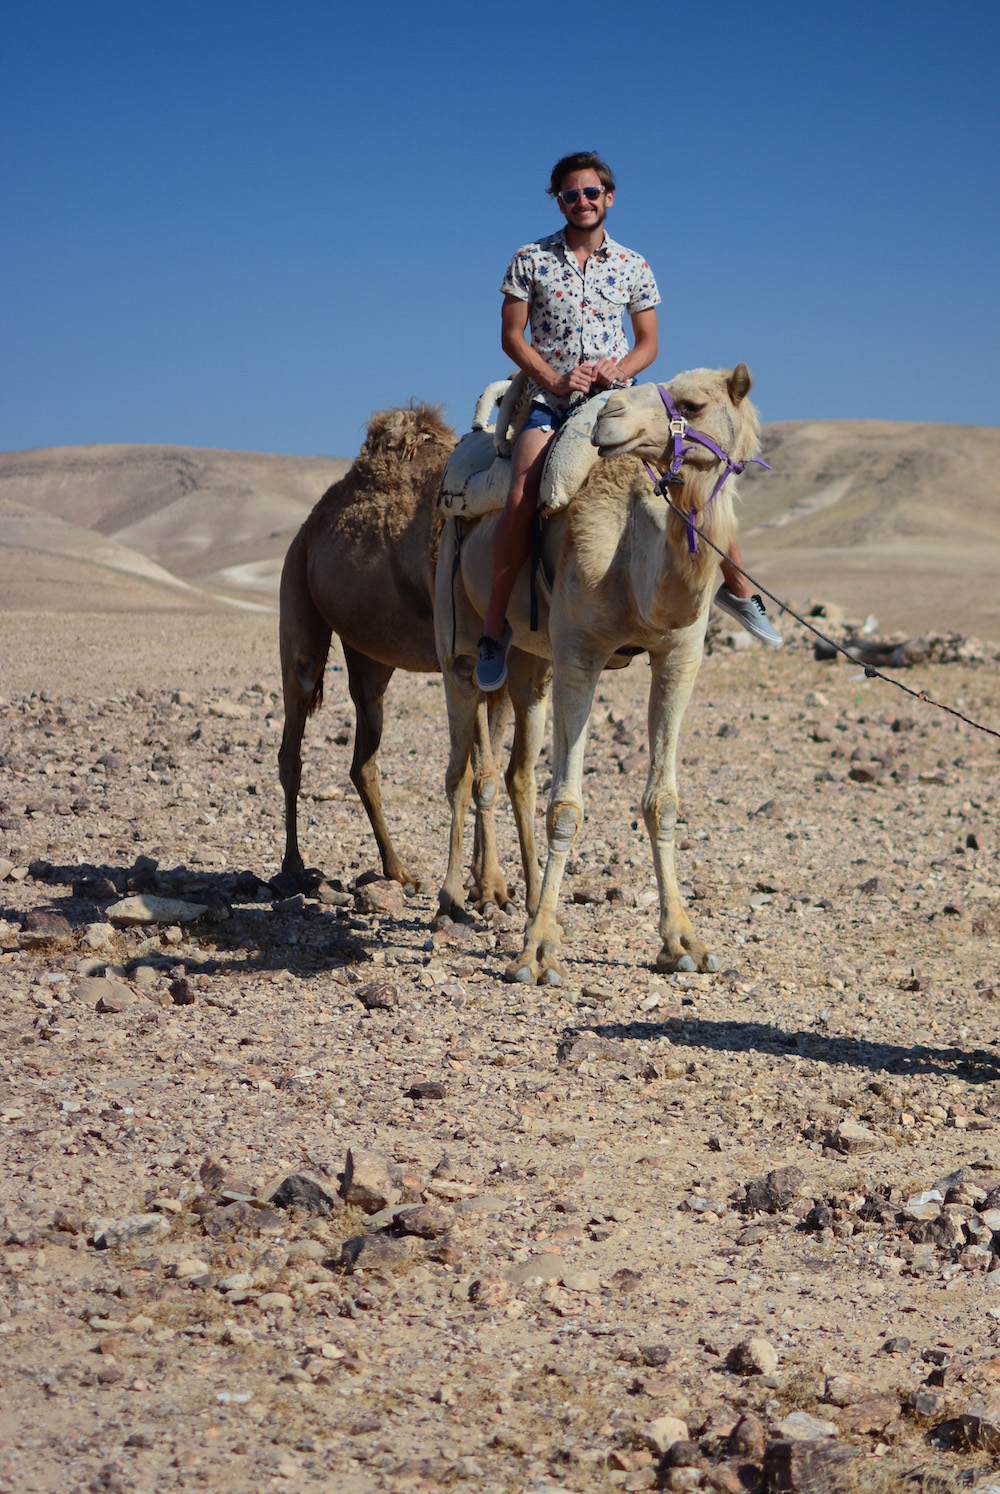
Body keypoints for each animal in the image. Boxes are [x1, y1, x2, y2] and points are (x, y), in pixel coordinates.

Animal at [276, 397, 523, 896]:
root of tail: (308, 528)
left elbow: (487, 767)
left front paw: (485, 881)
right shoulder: (465, 656)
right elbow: (482, 771)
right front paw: (489, 885)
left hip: (371, 657)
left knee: (363, 760)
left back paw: (399, 871)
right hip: (298, 603)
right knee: (292, 743)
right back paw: (294, 866)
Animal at [433, 364, 759, 980]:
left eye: (692, 404)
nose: (610, 418)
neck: (634, 556)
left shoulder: (680, 656)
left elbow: (662, 801)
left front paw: (682, 942)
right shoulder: (580, 654)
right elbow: (566, 806)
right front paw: (537, 953)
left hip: (532, 660)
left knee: (516, 770)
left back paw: (528, 900)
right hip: (455, 626)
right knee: (461, 770)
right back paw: (451, 903)